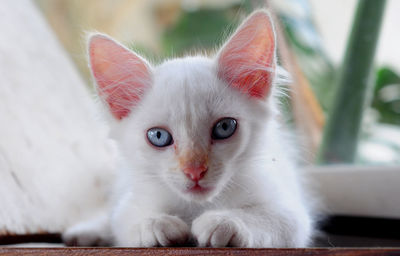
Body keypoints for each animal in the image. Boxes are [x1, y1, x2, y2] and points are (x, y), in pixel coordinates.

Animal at [63, 10, 312, 248]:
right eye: (159, 136)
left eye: (224, 127)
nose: (194, 171)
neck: (197, 206)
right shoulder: (132, 202)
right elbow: (125, 219)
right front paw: (155, 224)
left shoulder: (291, 212)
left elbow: (269, 219)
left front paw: (225, 221)